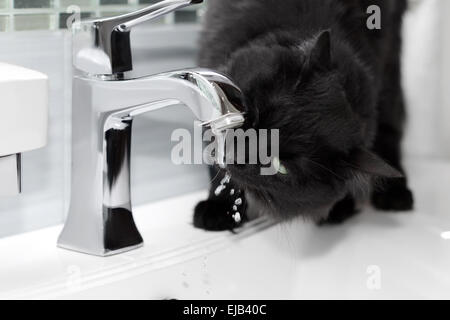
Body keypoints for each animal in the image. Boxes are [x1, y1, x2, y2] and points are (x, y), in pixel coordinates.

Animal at [192, 0, 412, 230]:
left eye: (278, 166)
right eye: (257, 115)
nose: (235, 155)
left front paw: (340, 208)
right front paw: (219, 209)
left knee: (390, 133)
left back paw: (395, 194)